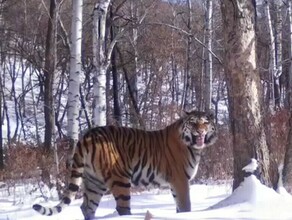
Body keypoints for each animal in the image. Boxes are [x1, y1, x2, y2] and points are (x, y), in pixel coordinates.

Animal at [33, 111, 218, 219]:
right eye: (193, 123)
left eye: (205, 122)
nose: (200, 131)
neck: (192, 145)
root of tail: (87, 135)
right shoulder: (180, 180)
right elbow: (186, 206)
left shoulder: (175, 183)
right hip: (120, 178)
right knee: (121, 208)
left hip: (93, 182)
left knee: (86, 207)